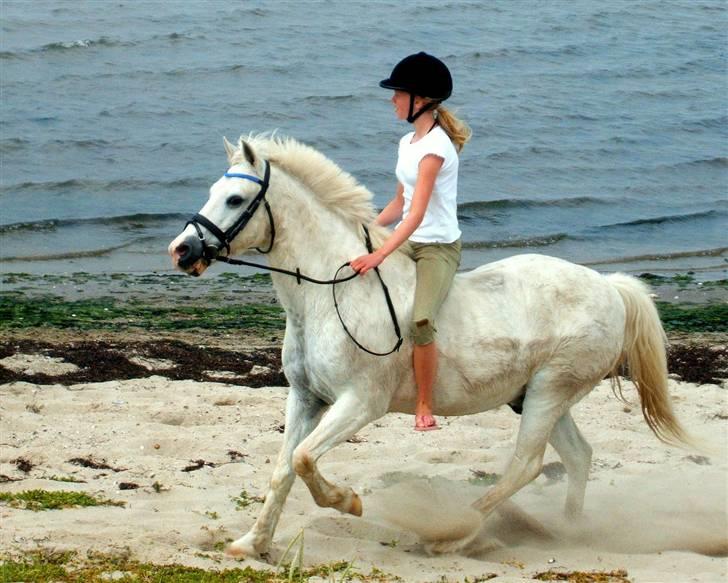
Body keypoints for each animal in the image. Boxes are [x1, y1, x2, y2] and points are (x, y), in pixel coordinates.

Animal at [169, 135, 688, 560]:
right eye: (213, 192)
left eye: (235, 198)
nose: (181, 251)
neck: (332, 292)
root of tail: (610, 287)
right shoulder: (306, 398)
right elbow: (283, 470)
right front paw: (251, 544)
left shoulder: (361, 402)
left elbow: (305, 459)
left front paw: (349, 502)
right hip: (539, 398)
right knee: (578, 456)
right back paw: (569, 532)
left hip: (550, 390)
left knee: (526, 465)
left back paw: (454, 534)